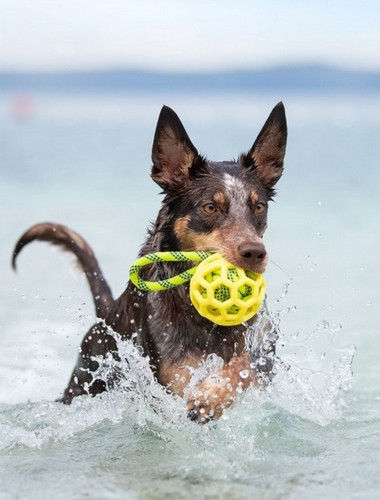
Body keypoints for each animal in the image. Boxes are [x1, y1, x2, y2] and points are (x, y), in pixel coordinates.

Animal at [11, 103, 286, 424]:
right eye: (210, 207)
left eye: (258, 207)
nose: (255, 252)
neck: (202, 317)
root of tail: (105, 315)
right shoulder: (171, 377)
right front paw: (209, 396)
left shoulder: (264, 347)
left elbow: (247, 364)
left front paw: (213, 394)